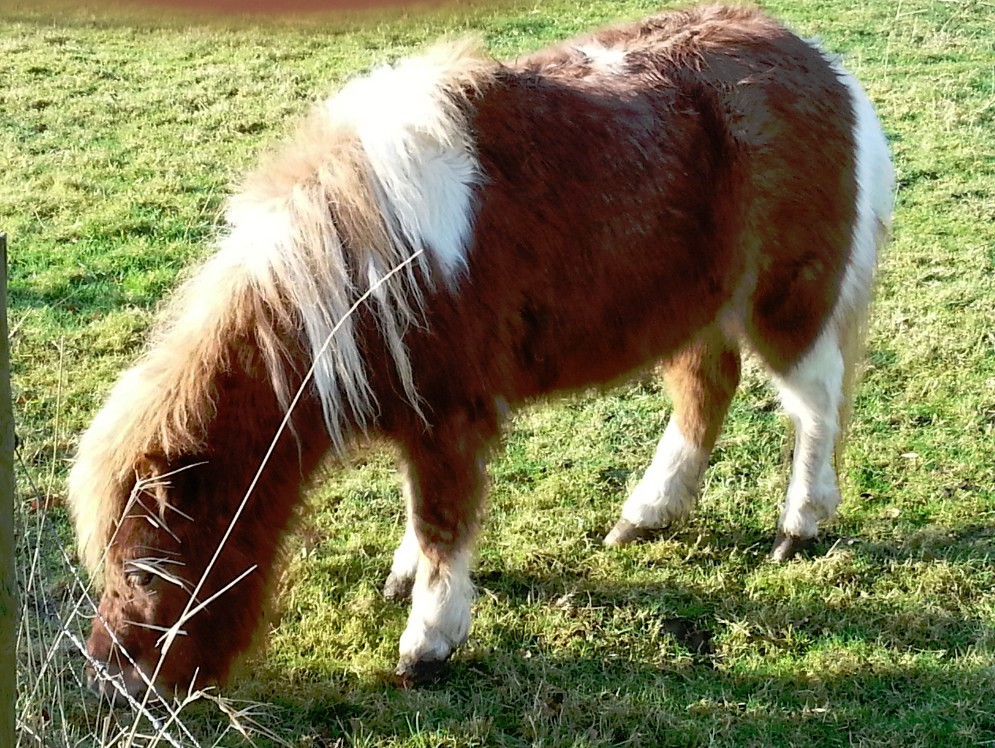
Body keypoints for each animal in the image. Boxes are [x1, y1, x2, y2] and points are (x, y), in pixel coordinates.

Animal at [68, 7, 896, 700]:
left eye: (150, 566)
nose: (112, 679)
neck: (366, 270)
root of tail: (818, 60)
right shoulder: (421, 417)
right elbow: (422, 516)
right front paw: (404, 583)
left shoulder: (449, 418)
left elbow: (443, 523)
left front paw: (427, 643)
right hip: (699, 308)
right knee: (708, 390)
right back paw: (646, 515)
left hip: (785, 300)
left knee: (814, 399)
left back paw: (798, 525)